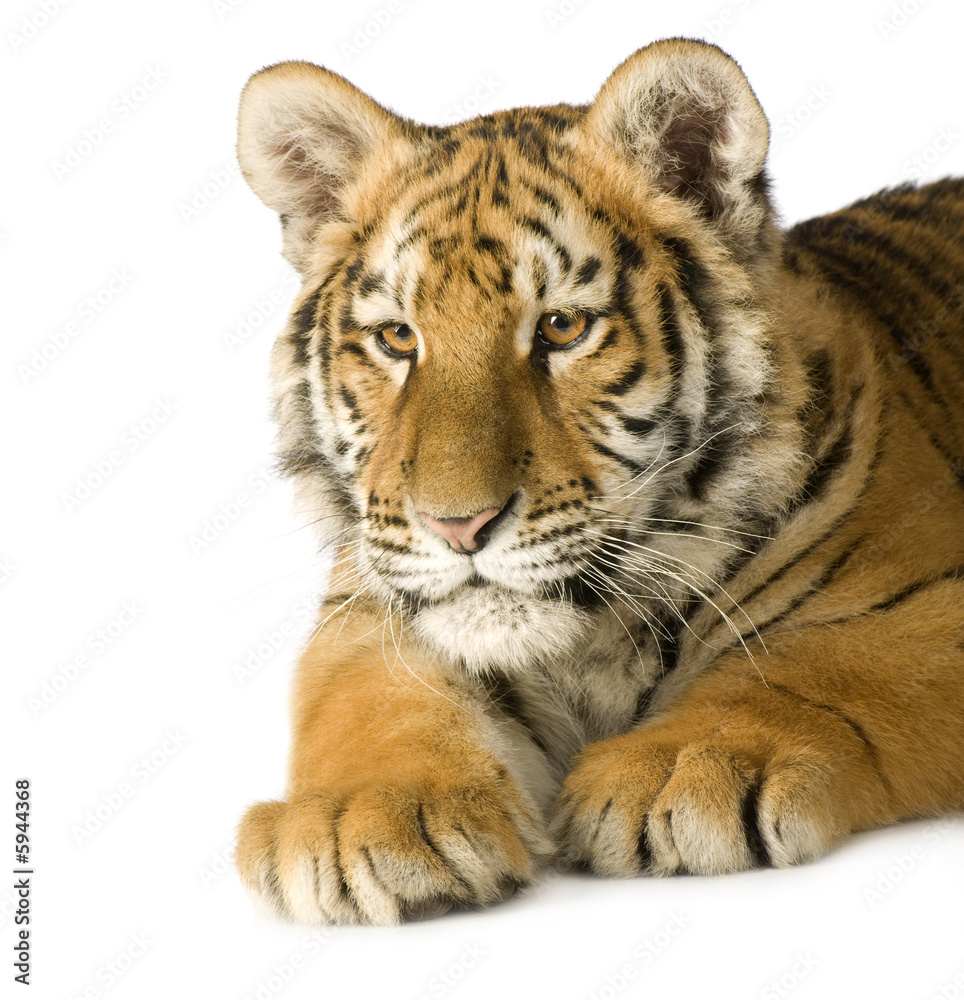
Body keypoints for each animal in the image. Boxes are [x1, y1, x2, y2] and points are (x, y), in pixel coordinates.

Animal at [233, 37, 964, 925]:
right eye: (399, 338)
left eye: (562, 327)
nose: (458, 527)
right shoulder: (369, 604)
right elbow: (374, 701)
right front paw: (362, 816)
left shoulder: (919, 601)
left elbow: (813, 663)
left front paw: (679, 767)